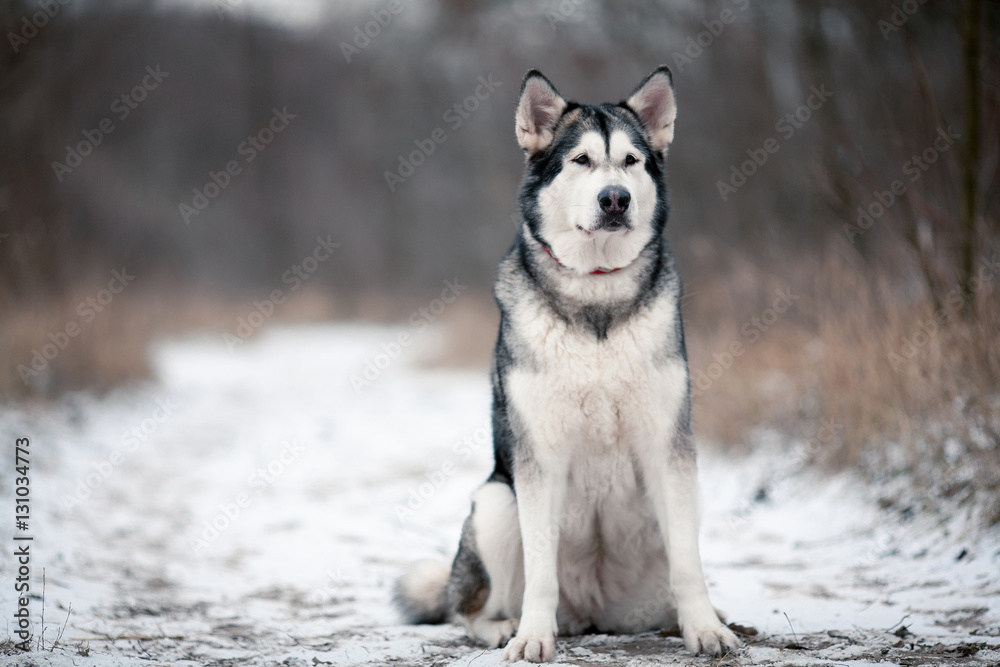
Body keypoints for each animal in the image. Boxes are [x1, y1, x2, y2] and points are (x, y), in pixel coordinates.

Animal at [394, 66, 740, 664]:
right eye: (580, 160)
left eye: (631, 160)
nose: (615, 199)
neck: (595, 293)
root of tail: (593, 614)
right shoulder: (539, 457)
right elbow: (540, 570)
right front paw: (533, 636)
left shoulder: (668, 447)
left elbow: (689, 564)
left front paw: (705, 629)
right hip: (495, 502)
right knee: (468, 611)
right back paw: (504, 626)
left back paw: (687, 618)